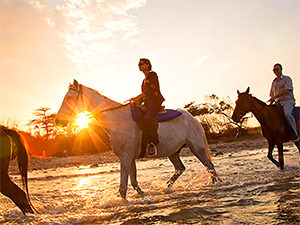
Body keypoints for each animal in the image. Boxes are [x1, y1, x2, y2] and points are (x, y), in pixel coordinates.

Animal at [55, 80, 220, 201]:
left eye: (69, 98)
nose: (58, 121)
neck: (117, 119)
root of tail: (194, 119)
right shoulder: (130, 158)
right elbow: (133, 182)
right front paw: (141, 195)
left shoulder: (125, 158)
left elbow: (123, 185)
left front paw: (125, 203)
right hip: (174, 152)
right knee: (181, 168)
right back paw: (166, 187)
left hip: (197, 147)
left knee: (209, 166)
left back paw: (213, 185)